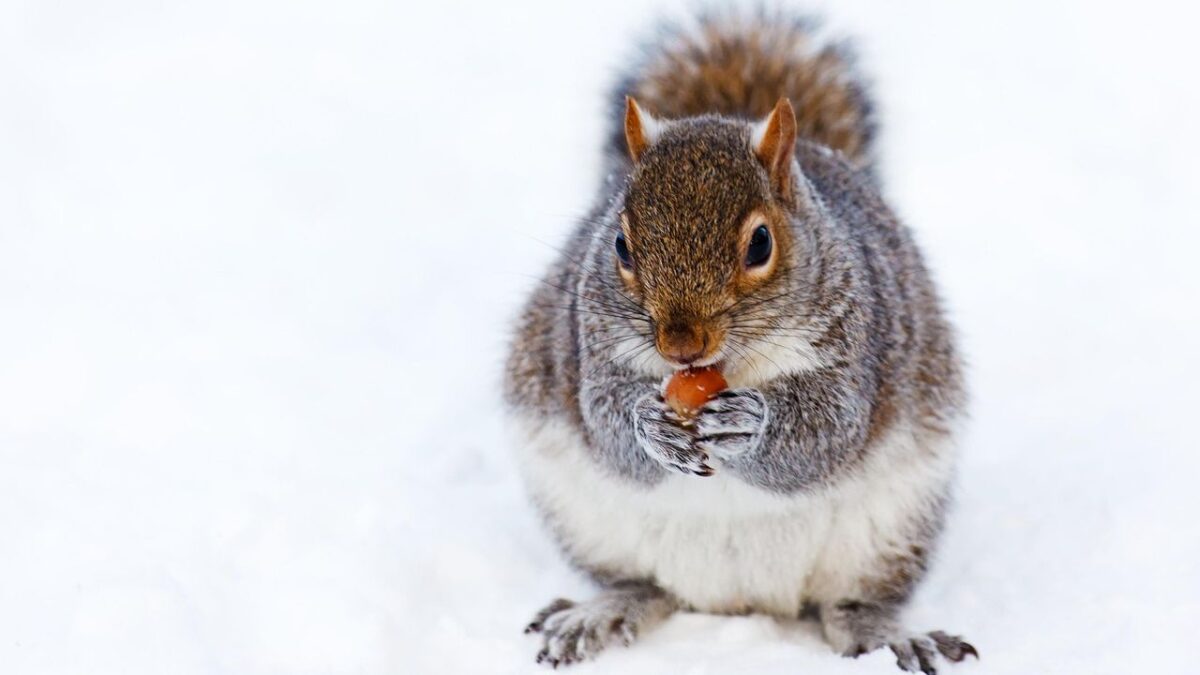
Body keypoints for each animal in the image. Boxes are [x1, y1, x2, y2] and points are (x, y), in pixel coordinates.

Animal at [504, 11, 977, 674]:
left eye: (760, 244)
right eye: (620, 245)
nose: (681, 346)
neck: (728, 366)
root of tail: (738, 602)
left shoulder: (858, 344)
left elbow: (829, 431)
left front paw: (750, 424)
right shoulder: (588, 343)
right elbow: (604, 421)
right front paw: (649, 425)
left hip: (891, 530)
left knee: (850, 605)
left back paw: (890, 634)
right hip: (586, 519)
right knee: (643, 585)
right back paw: (601, 611)